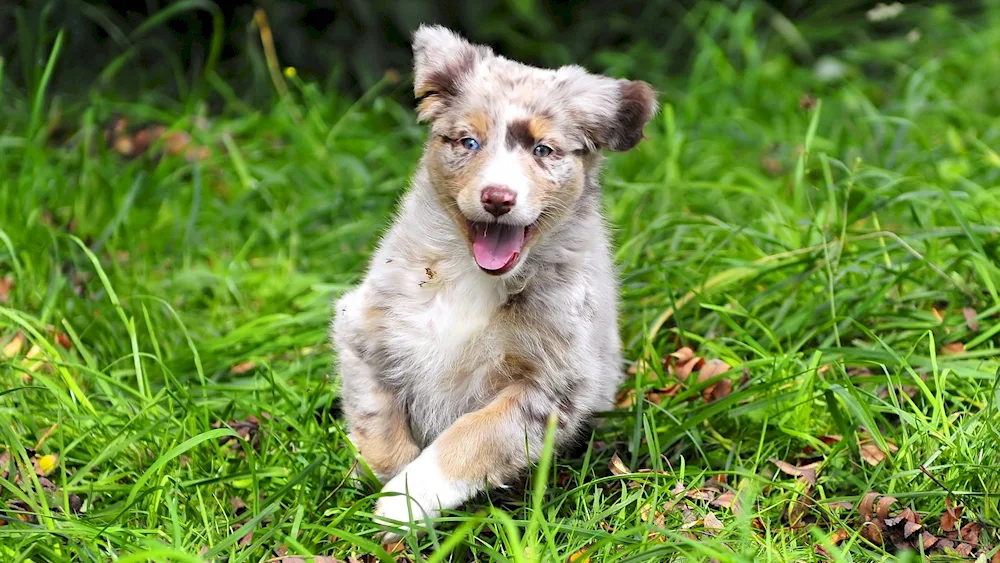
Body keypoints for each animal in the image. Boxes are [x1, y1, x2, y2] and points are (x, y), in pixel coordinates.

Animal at [332, 26, 660, 536]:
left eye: (543, 150)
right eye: (469, 142)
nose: (498, 198)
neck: (471, 277)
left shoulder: (550, 386)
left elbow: (471, 438)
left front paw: (403, 503)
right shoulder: (363, 328)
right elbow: (377, 420)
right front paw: (384, 491)